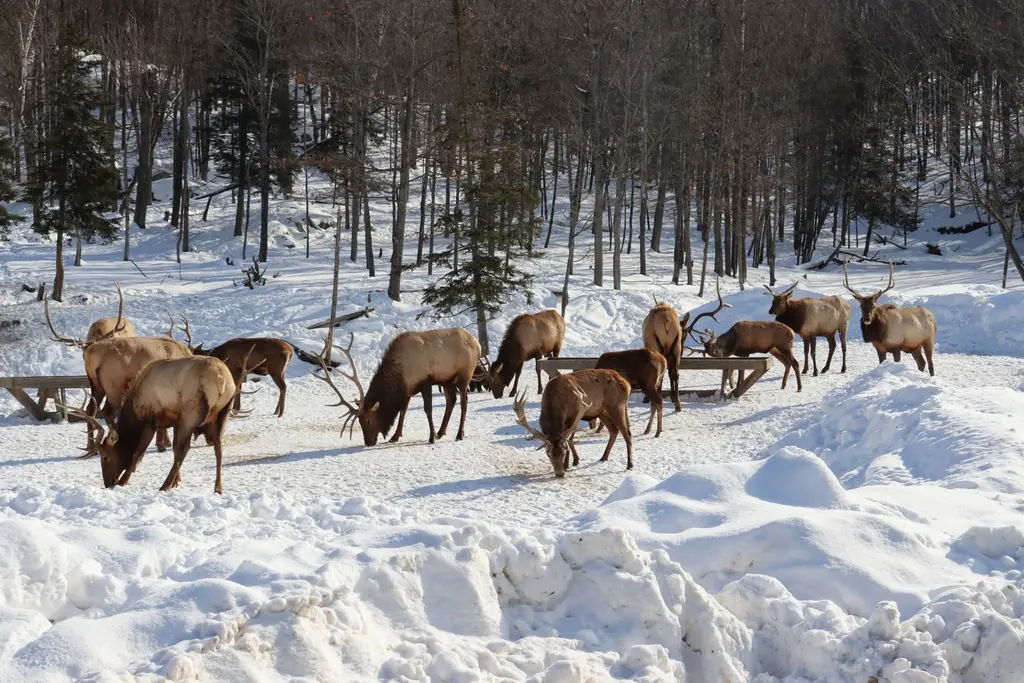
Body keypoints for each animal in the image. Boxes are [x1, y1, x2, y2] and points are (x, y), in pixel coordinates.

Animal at [60, 351, 259, 494]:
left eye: (105, 457)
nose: (108, 483)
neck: (135, 409)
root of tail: (222, 380)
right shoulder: (174, 420)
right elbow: (171, 448)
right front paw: (178, 481)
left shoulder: (152, 420)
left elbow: (138, 453)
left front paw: (124, 481)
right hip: (222, 412)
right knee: (218, 447)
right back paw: (218, 487)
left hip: (192, 411)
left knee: (185, 449)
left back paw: (164, 485)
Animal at [314, 329, 481, 446]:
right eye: (359, 421)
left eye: (368, 420)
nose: (368, 442)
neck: (400, 373)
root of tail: (478, 344)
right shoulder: (407, 389)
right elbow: (403, 410)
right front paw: (395, 436)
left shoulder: (425, 381)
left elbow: (428, 410)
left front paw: (431, 437)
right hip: (447, 380)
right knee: (451, 400)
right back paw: (441, 432)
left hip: (465, 374)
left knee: (464, 402)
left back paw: (459, 434)